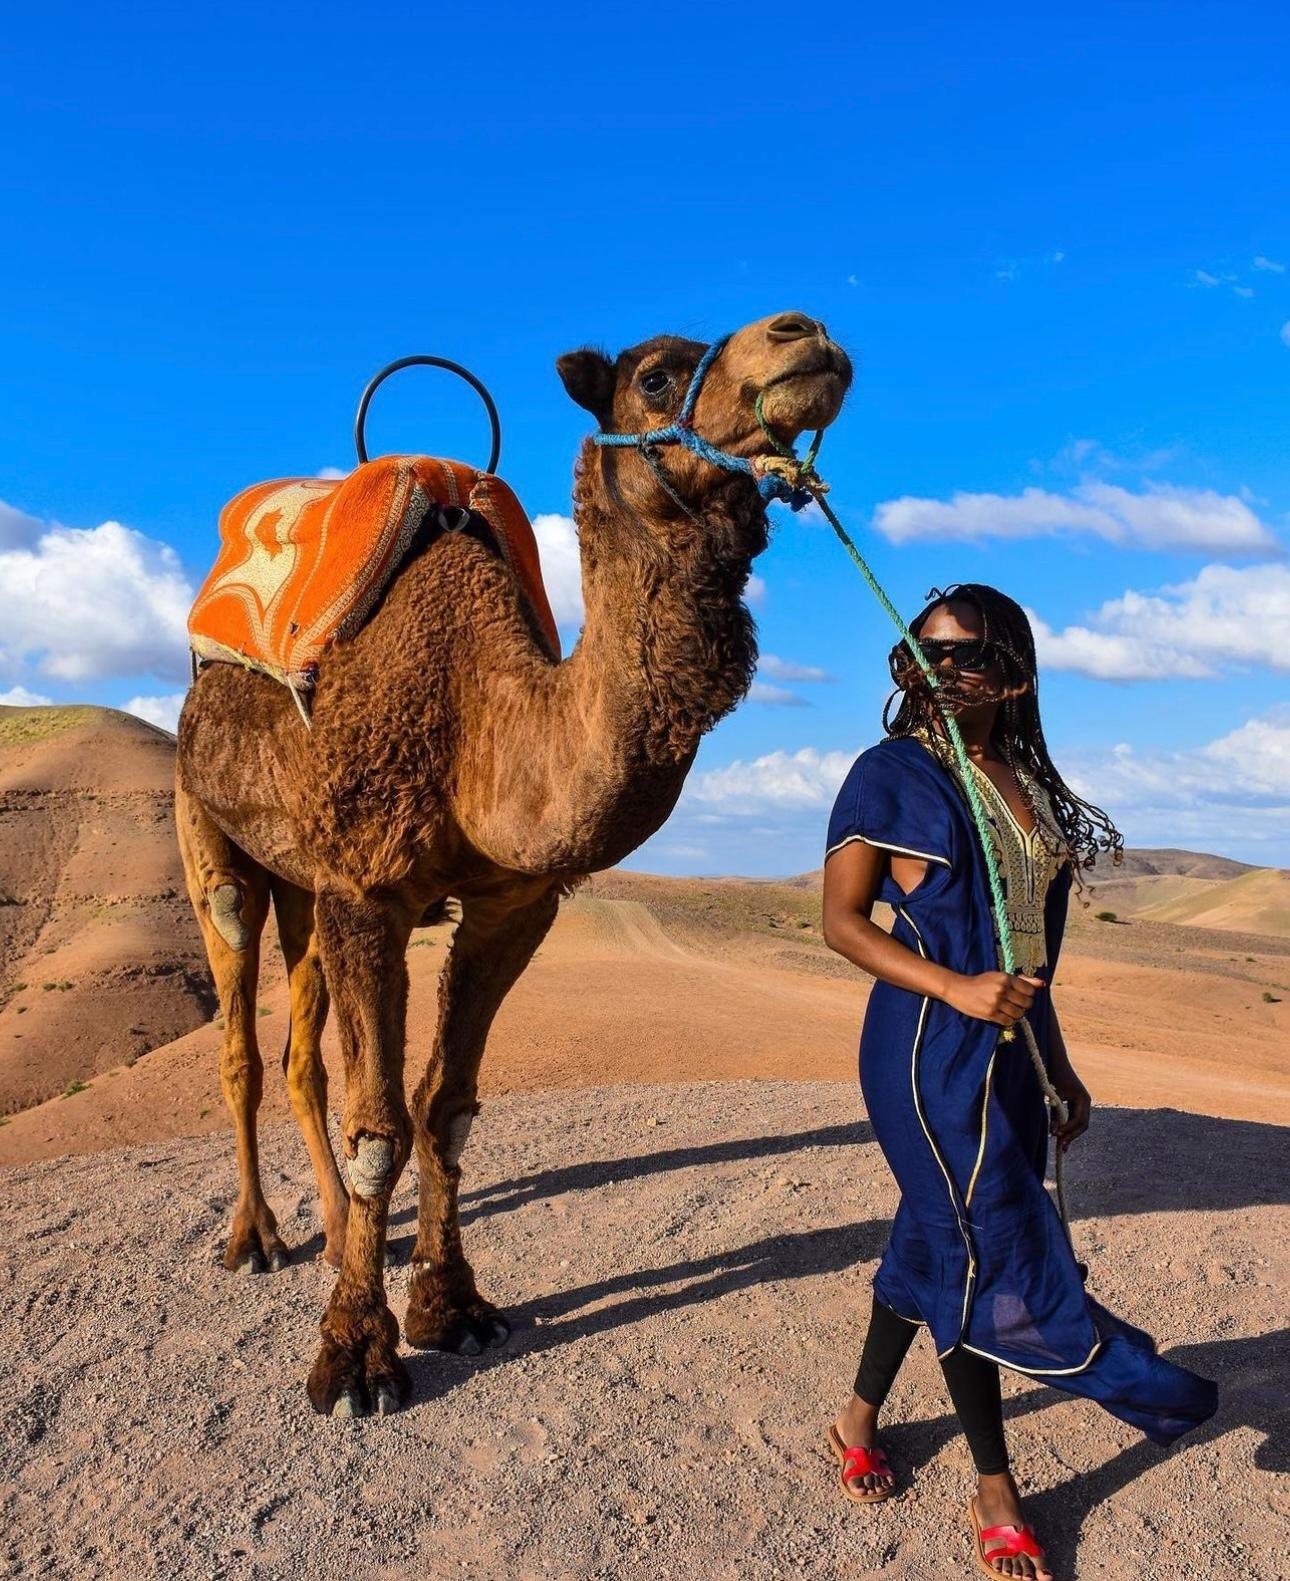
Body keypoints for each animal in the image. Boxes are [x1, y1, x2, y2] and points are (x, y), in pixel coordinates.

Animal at [175, 311, 853, 1417]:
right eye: (655, 376)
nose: (807, 335)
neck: (481, 718)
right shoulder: (370, 891)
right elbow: (380, 1127)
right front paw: (355, 1359)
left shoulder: (511, 904)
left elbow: (445, 1111)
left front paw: (450, 1307)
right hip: (211, 831)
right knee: (240, 1027)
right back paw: (258, 1237)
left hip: (303, 879)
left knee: (301, 1047)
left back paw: (335, 1232)